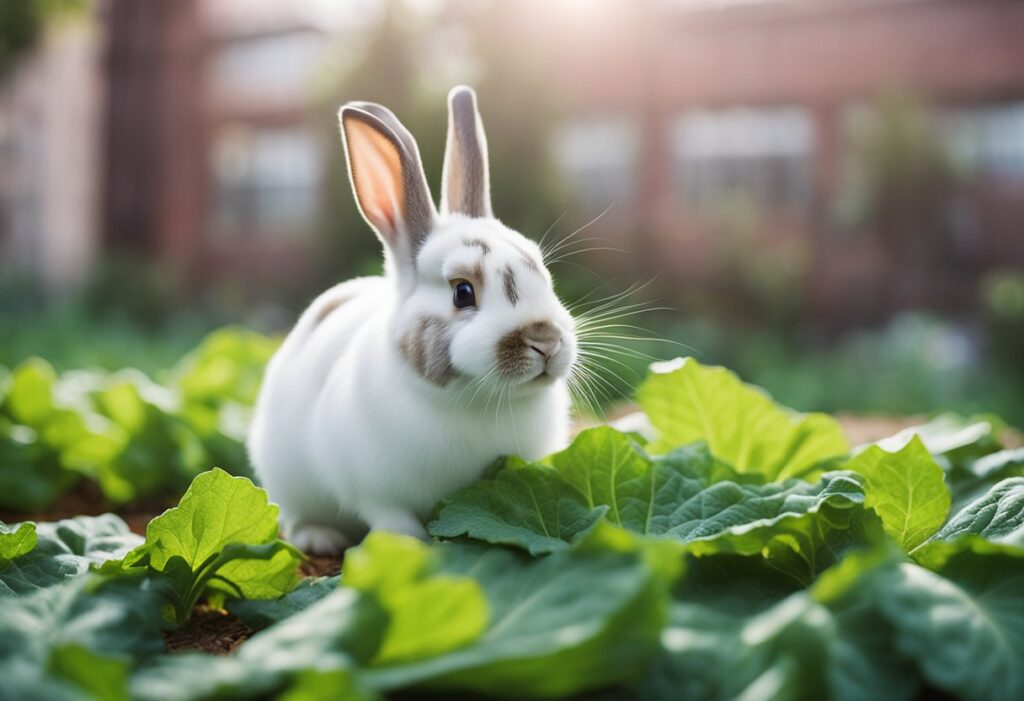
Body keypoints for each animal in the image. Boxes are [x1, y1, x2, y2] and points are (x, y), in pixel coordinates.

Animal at [246, 87, 577, 556]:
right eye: (462, 292)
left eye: (544, 275)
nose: (545, 341)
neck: (474, 402)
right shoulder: (375, 488)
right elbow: (391, 517)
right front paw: (412, 547)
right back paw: (319, 537)